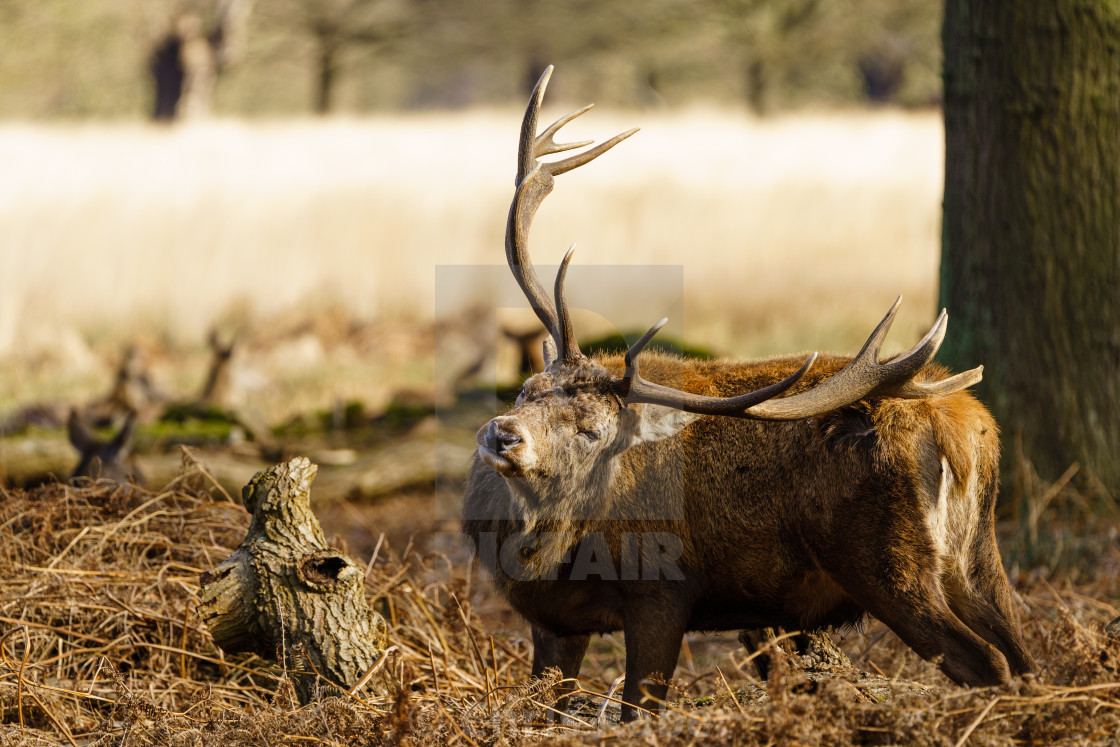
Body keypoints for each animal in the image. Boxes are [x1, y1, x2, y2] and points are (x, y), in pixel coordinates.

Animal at [461, 67, 1030, 721]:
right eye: (527, 389)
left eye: (592, 430)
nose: (504, 435)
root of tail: (965, 430)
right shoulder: (555, 624)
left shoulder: (662, 590)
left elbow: (640, 709)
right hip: (977, 559)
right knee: (1025, 653)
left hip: (888, 562)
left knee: (986, 662)